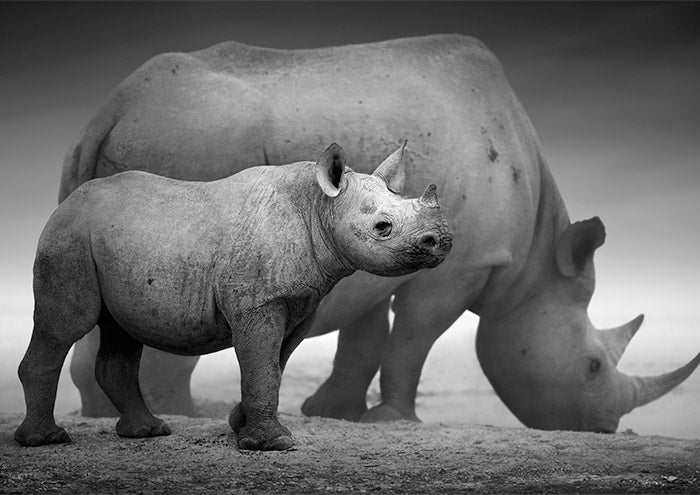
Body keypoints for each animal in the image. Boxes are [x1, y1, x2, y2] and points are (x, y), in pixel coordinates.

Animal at [15, 143, 453, 450]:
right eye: (382, 227)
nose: (443, 241)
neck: (319, 208)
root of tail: (68, 202)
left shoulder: (300, 302)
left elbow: (274, 366)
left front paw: (239, 426)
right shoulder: (259, 303)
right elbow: (262, 366)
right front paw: (272, 444)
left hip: (107, 241)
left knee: (120, 331)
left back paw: (148, 432)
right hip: (69, 236)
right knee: (67, 325)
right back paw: (45, 441)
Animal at [63, 34, 699, 432]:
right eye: (592, 367)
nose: (604, 428)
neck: (535, 266)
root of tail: (110, 109)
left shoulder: (371, 247)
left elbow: (365, 337)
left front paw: (333, 412)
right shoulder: (465, 264)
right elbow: (413, 339)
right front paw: (396, 419)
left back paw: (108, 417)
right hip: (194, 142)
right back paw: (185, 416)